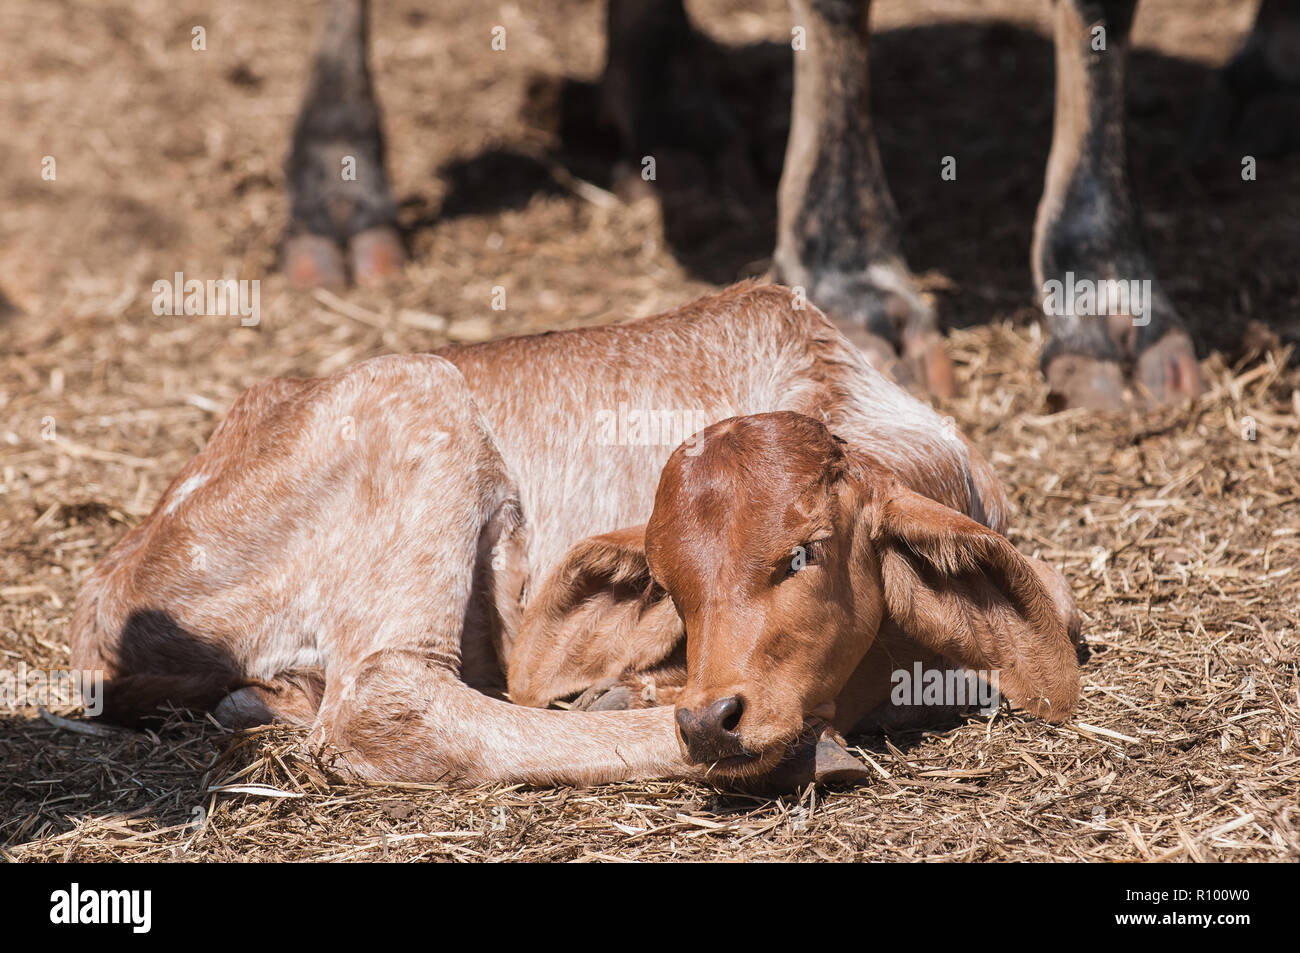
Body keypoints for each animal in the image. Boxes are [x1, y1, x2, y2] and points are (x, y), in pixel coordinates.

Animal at [73, 284, 1076, 790]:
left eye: (804, 552)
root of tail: (110, 591)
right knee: (388, 704)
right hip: (418, 392)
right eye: (669, 584)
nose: (711, 717)